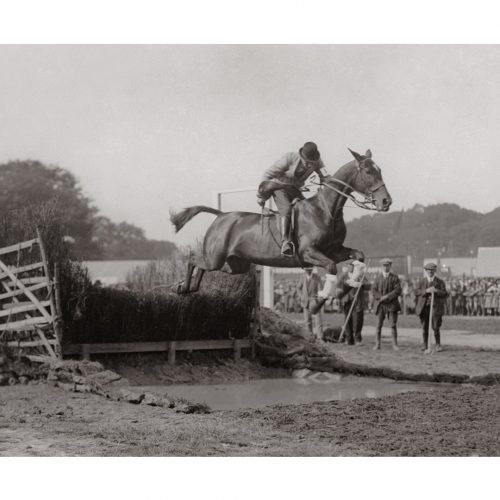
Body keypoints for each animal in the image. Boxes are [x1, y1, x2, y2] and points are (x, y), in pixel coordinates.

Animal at [170, 147, 392, 292]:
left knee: (208, 267)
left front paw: (354, 282)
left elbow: (359, 255)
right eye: (368, 171)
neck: (326, 210)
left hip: (236, 264)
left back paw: (190, 288)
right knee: (193, 259)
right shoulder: (308, 252)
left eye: (380, 170)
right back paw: (181, 287)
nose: (386, 201)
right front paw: (324, 295)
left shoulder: (334, 251)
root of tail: (221, 215)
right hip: (214, 257)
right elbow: (330, 267)